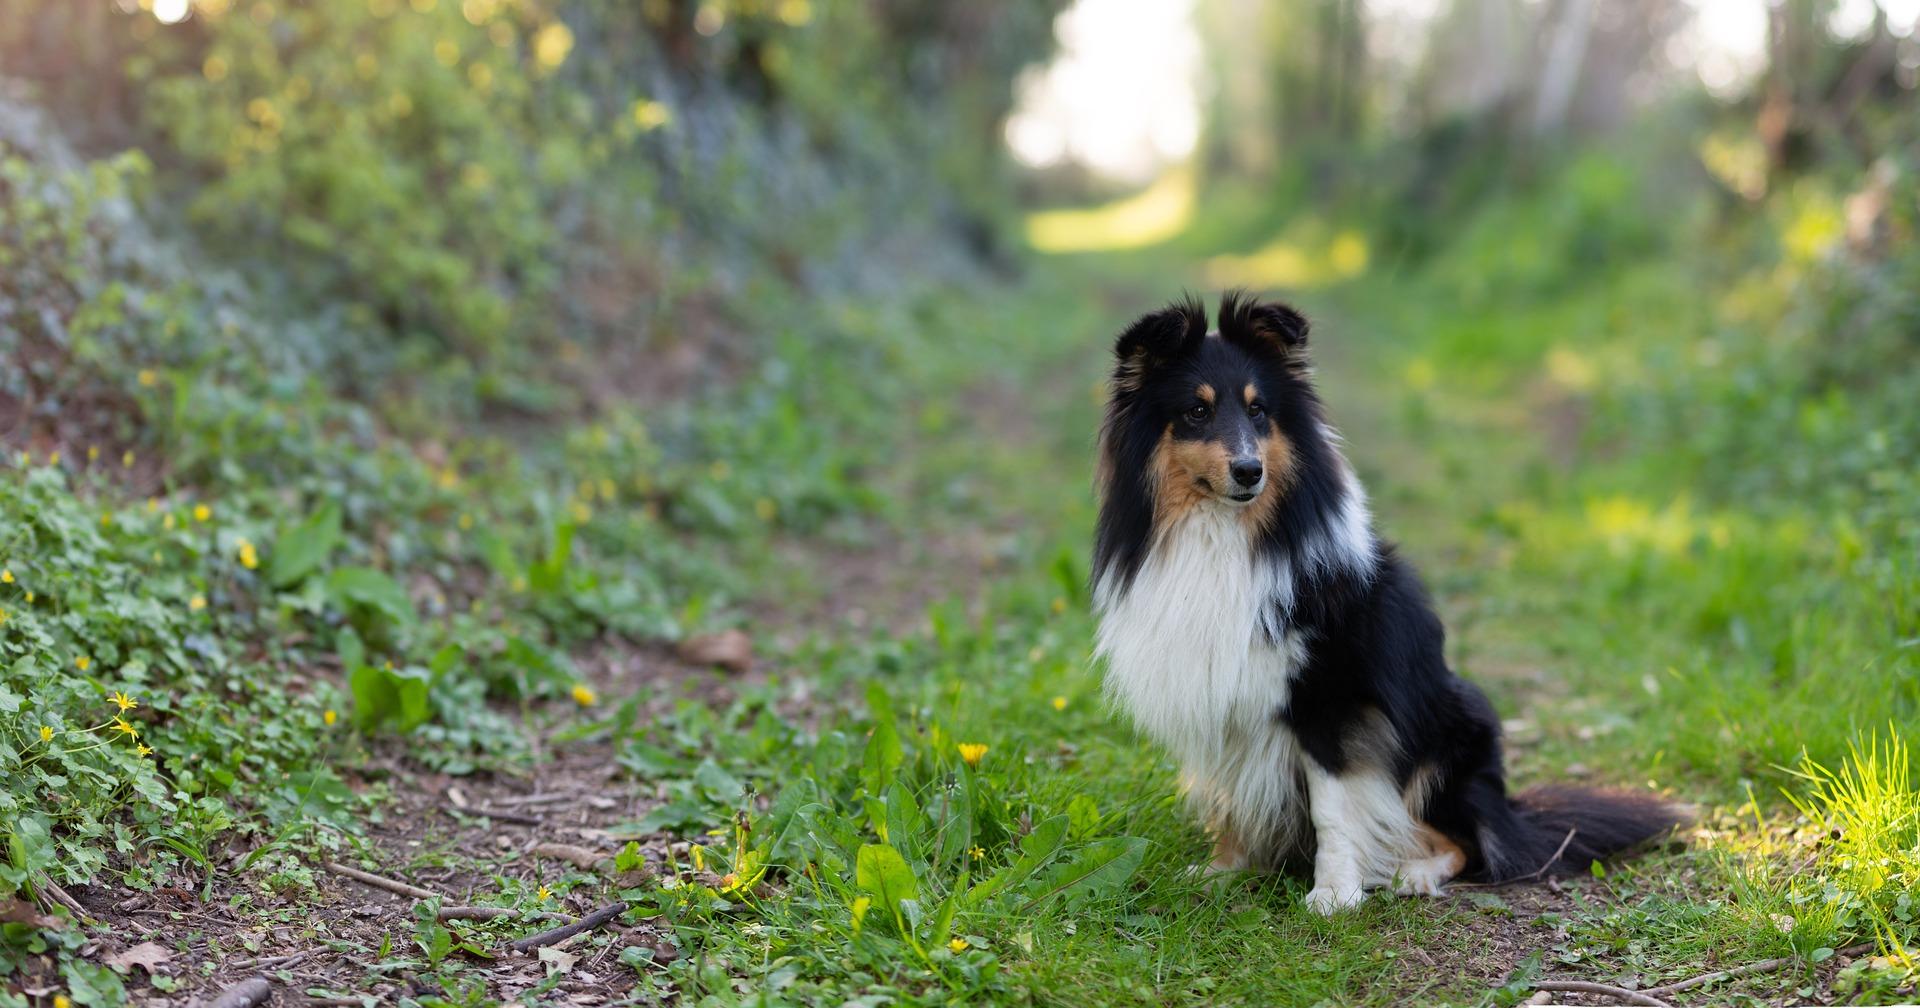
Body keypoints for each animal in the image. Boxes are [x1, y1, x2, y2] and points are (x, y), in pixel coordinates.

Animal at [1098, 289, 1681, 910]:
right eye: (1196, 411)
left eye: (1259, 411)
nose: (1249, 471)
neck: (1225, 535)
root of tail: (1510, 809)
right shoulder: (1218, 697)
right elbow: (1230, 795)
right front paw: (1222, 870)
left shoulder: (1330, 699)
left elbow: (1331, 806)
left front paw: (1334, 892)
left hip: (1449, 732)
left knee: (1469, 844)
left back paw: (1414, 872)